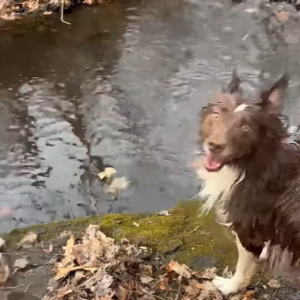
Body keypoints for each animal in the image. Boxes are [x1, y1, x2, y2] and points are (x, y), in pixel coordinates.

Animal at [197, 70, 300, 296]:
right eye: (216, 116)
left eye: (245, 127)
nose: (214, 146)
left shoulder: (248, 228)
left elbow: (243, 267)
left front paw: (230, 287)